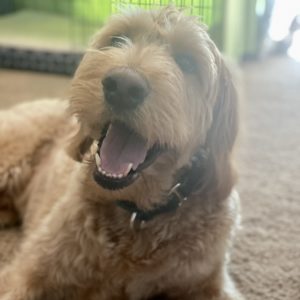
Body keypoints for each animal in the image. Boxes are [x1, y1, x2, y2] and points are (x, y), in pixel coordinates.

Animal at [0, 5, 243, 300]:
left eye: (187, 62)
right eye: (117, 39)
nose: (124, 85)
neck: (136, 214)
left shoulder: (209, 280)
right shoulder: (28, 272)